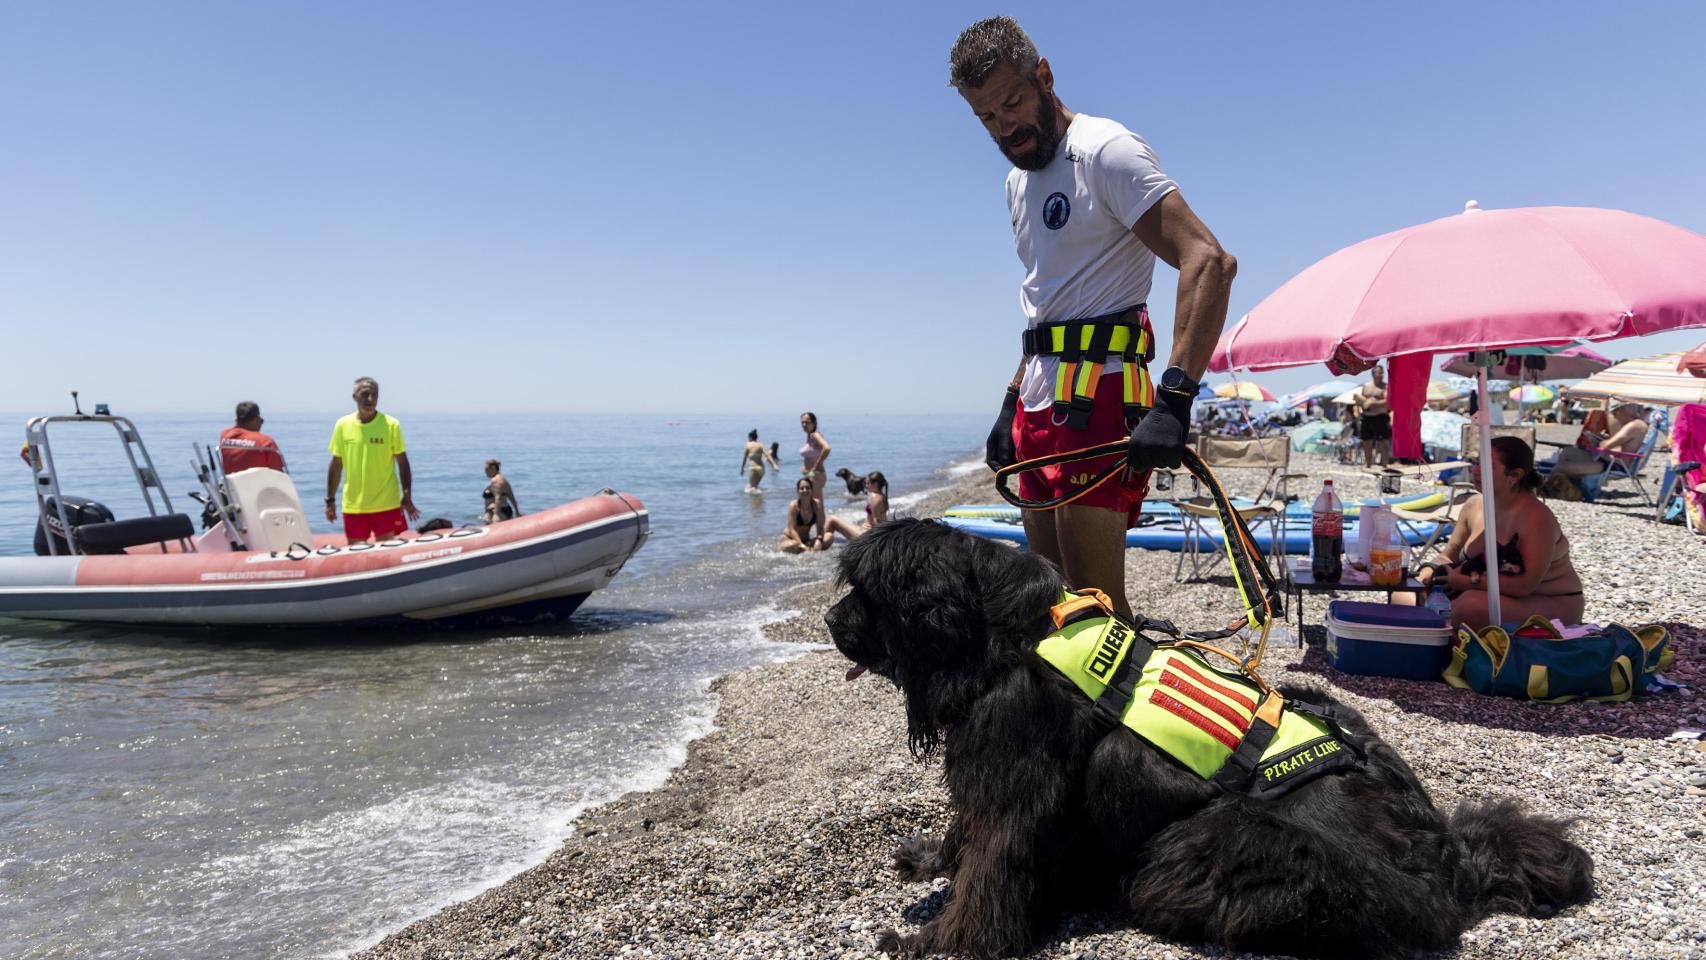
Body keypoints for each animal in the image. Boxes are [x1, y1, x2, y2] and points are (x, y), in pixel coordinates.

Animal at [829, 521, 1596, 960]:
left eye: (867, 594)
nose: (833, 621)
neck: (1013, 630)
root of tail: (1450, 865)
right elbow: (966, 835)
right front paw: (930, 861)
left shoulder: (1019, 781)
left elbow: (992, 870)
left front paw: (937, 943)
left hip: (1211, 847)